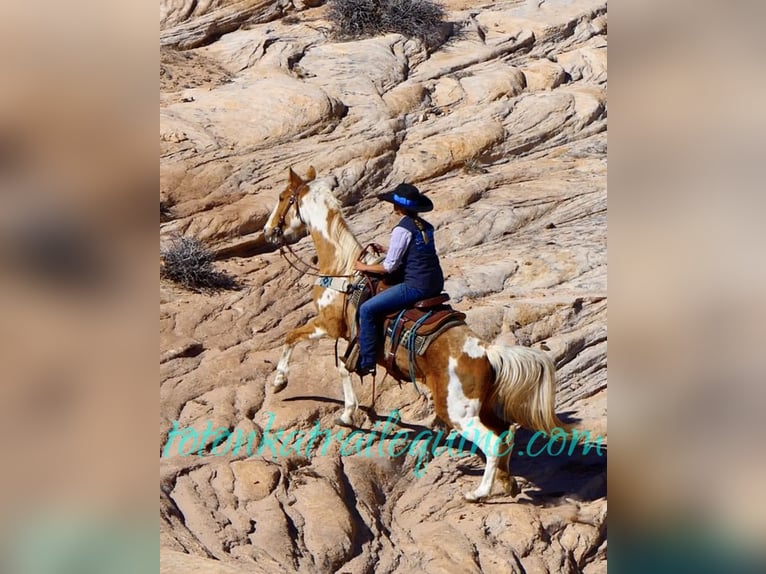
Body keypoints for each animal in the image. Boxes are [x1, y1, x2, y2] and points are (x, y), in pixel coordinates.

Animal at [264, 169, 568, 502]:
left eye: (282, 197)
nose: (267, 232)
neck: (343, 270)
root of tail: (487, 351)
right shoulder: (347, 337)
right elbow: (342, 367)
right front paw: (346, 413)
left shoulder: (329, 326)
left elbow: (296, 340)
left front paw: (281, 383)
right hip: (483, 407)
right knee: (505, 435)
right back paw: (507, 481)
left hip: (457, 412)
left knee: (491, 442)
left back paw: (478, 493)